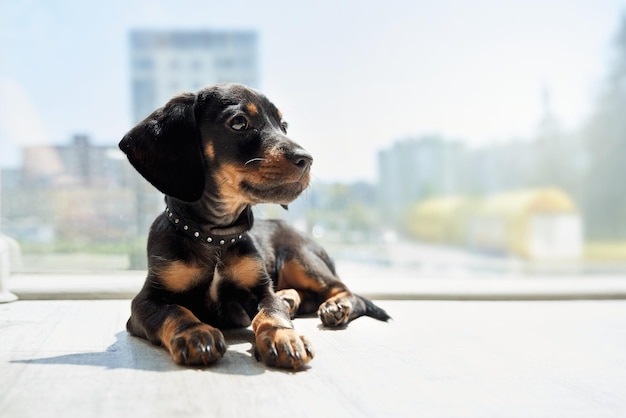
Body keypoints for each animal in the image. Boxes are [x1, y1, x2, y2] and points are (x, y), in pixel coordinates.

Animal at [119, 82, 388, 370]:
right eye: (239, 123)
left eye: (284, 125)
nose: (307, 159)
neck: (215, 238)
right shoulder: (146, 300)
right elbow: (175, 311)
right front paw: (196, 334)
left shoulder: (260, 289)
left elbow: (271, 311)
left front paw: (283, 336)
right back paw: (291, 297)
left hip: (300, 257)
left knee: (344, 290)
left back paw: (335, 306)